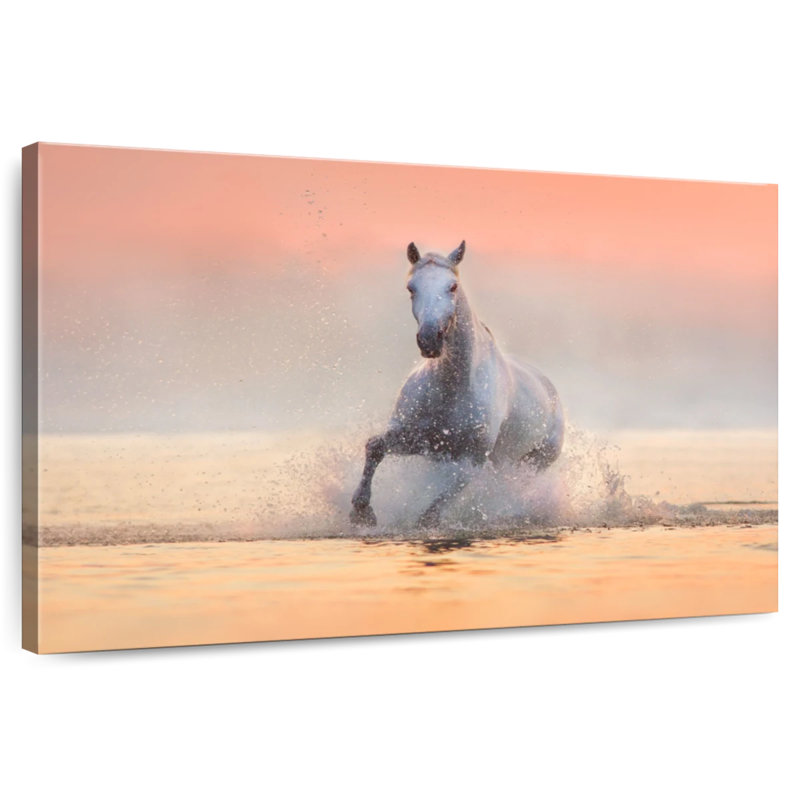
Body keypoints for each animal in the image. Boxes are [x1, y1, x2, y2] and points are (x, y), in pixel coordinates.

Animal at [350, 241, 565, 529]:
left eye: (452, 286)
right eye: (411, 288)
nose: (429, 339)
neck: (451, 388)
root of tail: (549, 388)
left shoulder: (472, 459)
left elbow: (447, 495)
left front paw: (425, 521)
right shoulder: (418, 439)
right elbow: (374, 446)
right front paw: (361, 511)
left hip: (534, 461)